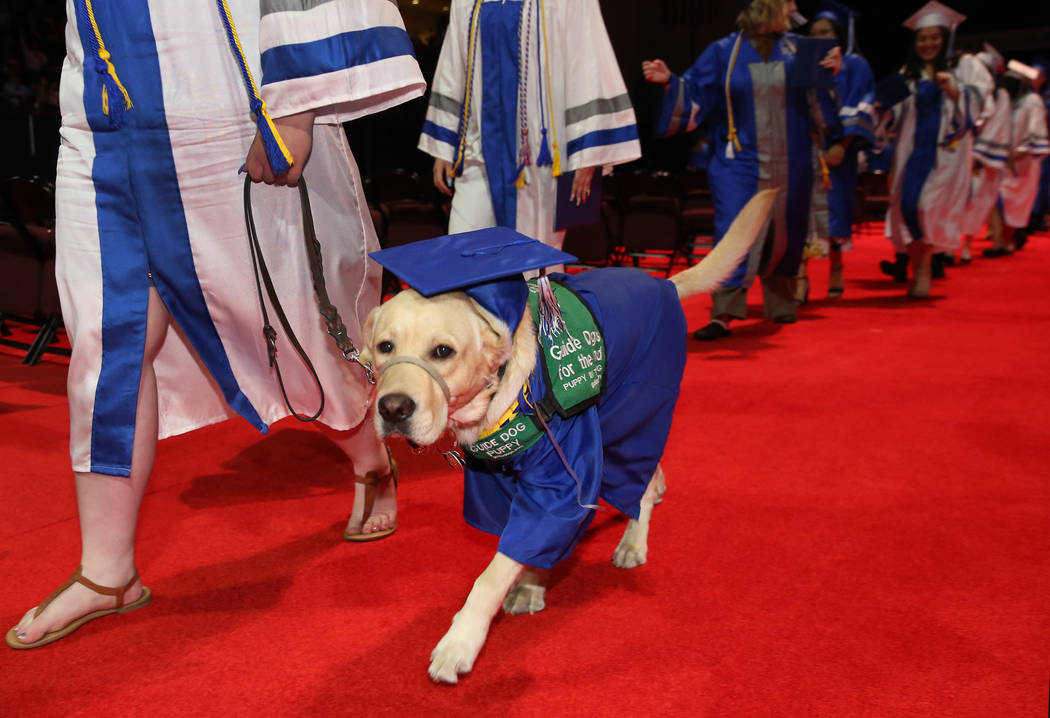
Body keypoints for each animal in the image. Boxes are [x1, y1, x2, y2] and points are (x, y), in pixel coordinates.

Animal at [365, 187, 776, 680]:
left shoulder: (562, 477)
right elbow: (524, 545)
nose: (393, 408)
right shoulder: (498, 483)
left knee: (637, 480)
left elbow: (495, 571)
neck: (501, 390)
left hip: (633, 413)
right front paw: (531, 585)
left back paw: (634, 539)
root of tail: (665, 285)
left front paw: (461, 640)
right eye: (385, 347)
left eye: (443, 351)